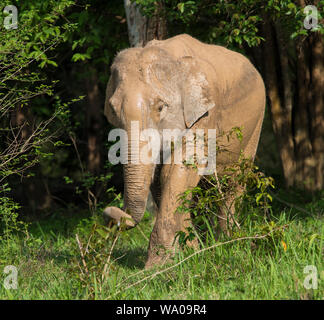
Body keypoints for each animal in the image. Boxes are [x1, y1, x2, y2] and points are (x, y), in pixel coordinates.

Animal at [104, 33, 266, 268]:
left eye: (160, 107)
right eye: (113, 109)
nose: (112, 213)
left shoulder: (204, 113)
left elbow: (178, 168)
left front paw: (156, 267)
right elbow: (160, 178)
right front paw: (188, 253)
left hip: (255, 127)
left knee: (233, 184)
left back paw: (228, 242)